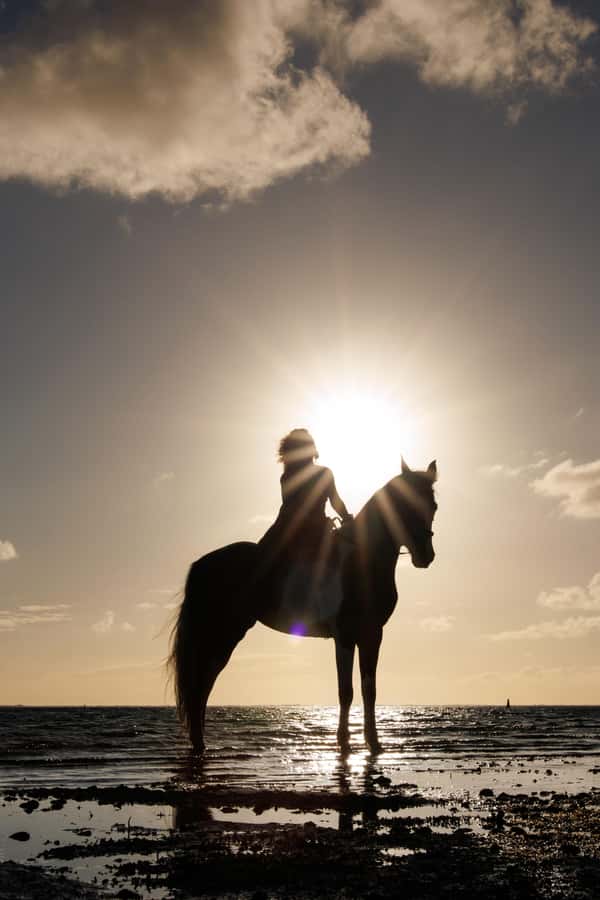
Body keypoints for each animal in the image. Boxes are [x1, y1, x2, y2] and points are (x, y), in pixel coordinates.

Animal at [168, 458, 437, 754]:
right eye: (406, 504)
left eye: (433, 506)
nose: (425, 556)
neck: (362, 559)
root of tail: (202, 564)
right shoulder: (345, 635)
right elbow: (346, 691)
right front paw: (344, 741)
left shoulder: (372, 634)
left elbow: (370, 689)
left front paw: (374, 743)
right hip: (224, 633)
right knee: (203, 682)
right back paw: (199, 743)